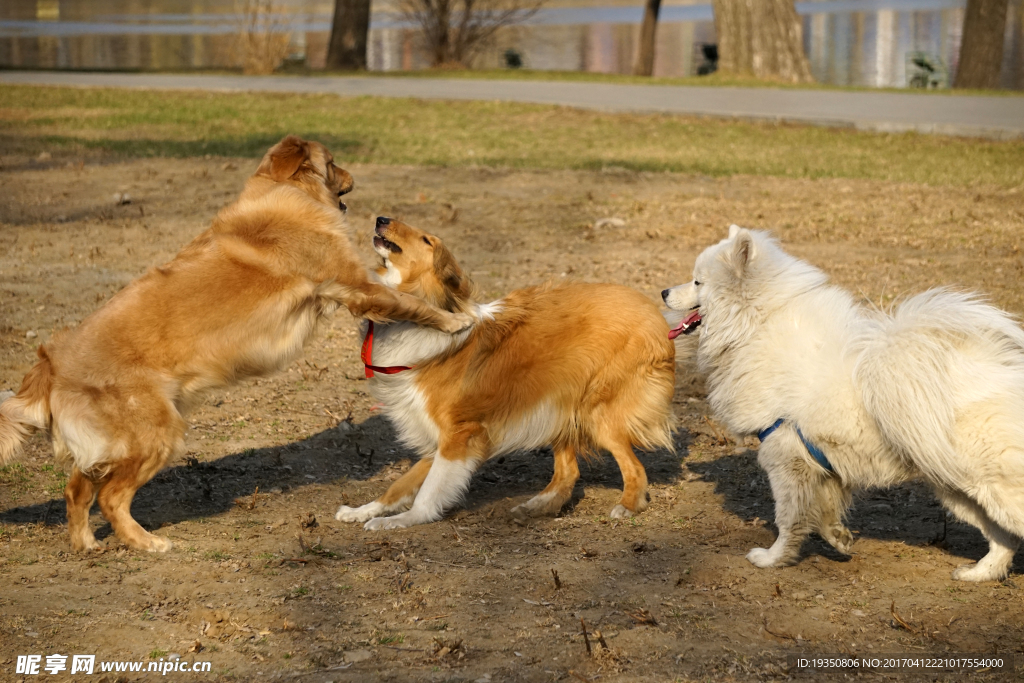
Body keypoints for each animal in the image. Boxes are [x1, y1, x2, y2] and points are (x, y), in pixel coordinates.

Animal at [0, 136, 471, 552]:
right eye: (333, 162)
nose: (355, 179)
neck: (283, 189)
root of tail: (50, 364)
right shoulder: (356, 283)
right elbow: (412, 304)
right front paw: (457, 321)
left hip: (109, 445)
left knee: (76, 489)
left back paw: (85, 544)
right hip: (155, 434)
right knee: (110, 498)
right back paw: (146, 542)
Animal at [331, 219, 675, 528]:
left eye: (427, 240)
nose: (381, 219)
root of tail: (653, 312)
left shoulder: (460, 434)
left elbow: (428, 493)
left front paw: (403, 520)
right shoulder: (439, 438)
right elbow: (398, 486)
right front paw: (362, 511)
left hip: (596, 410)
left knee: (634, 468)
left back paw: (627, 506)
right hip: (559, 403)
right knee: (568, 472)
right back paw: (535, 507)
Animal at [663, 227, 1024, 581]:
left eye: (697, 282)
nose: (664, 291)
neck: (754, 326)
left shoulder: (783, 456)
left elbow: (788, 519)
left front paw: (772, 559)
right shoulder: (820, 462)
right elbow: (823, 510)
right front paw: (838, 538)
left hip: (990, 486)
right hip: (956, 487)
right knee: (1003, 540)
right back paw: (979, 573)